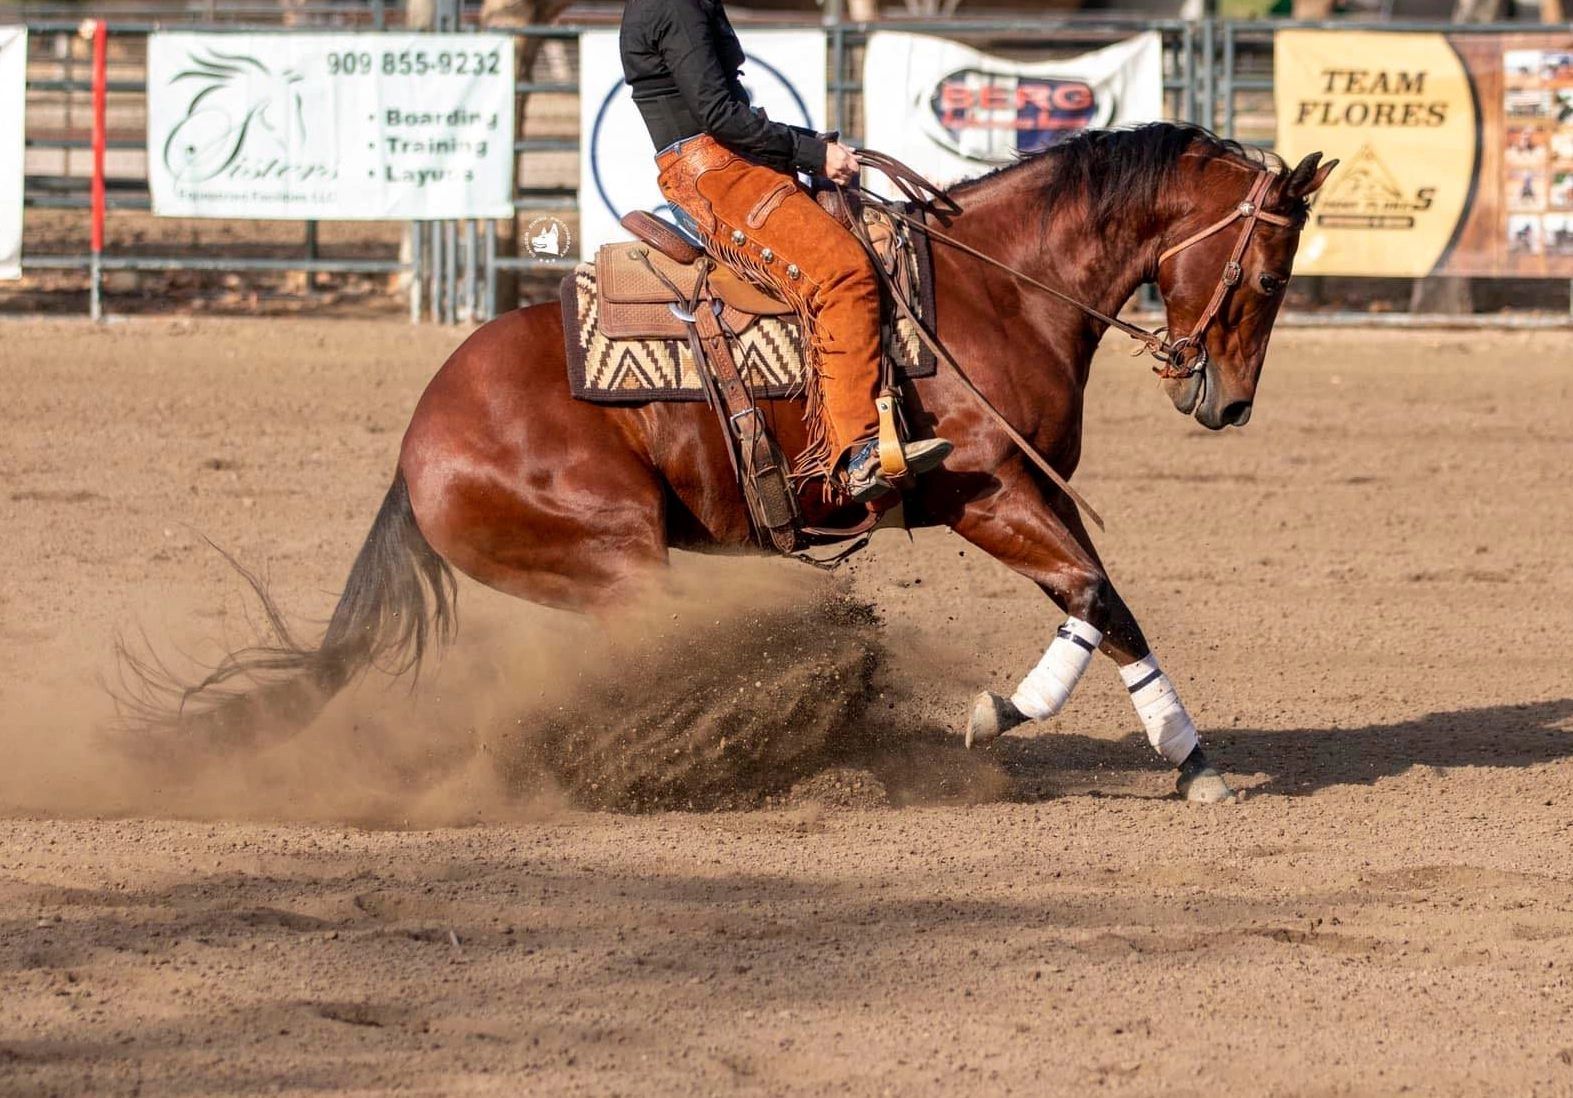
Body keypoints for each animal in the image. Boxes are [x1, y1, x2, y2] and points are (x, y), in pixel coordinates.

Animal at [141, 124, 1333, 799]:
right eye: (1272, 277)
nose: (1226, 403)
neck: (994, 288)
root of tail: (417, 445)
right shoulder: (982, 489)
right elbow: (1092, 594)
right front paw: (1059, 728)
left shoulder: (1030, 489)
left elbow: (1102, 597)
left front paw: (1169, 750)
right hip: (615, 555)